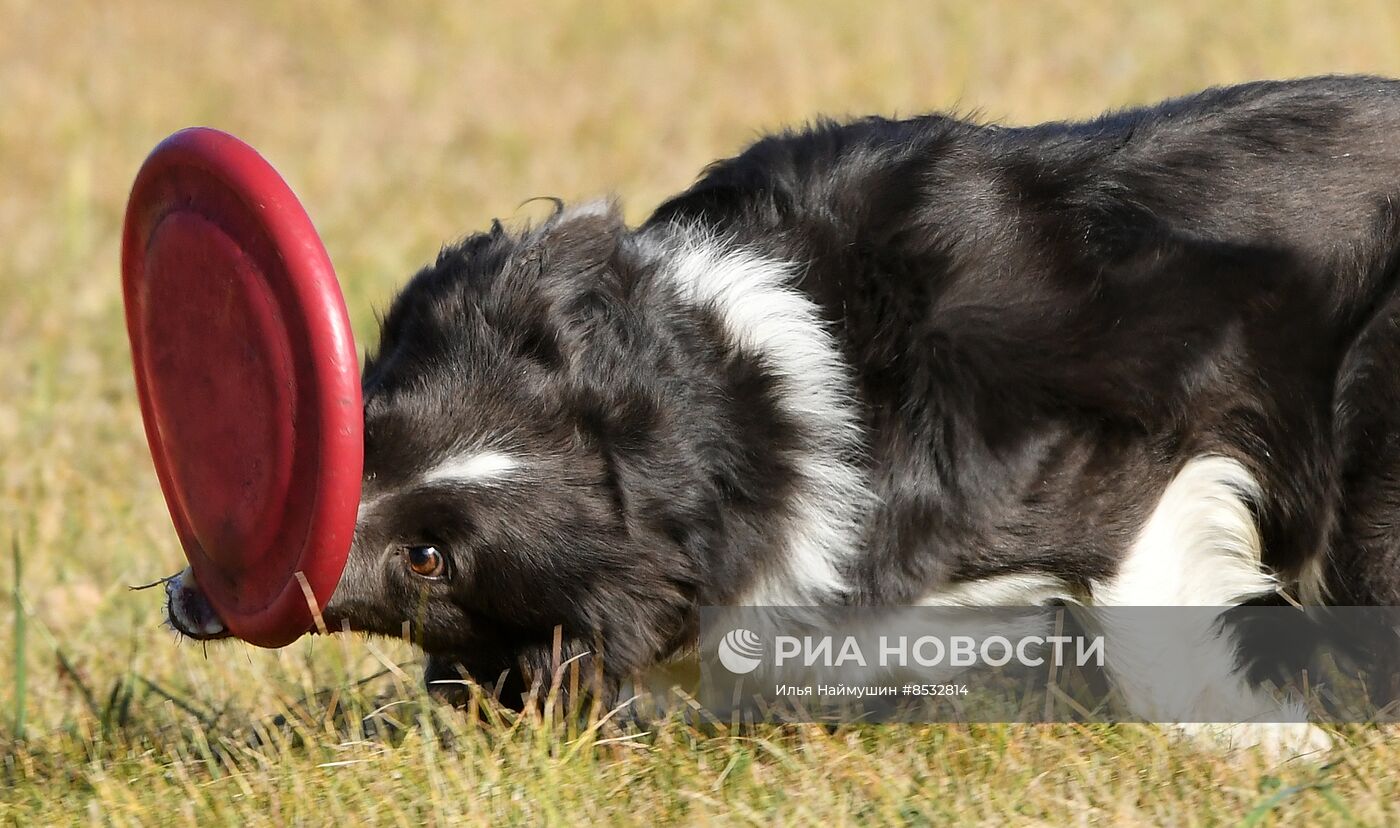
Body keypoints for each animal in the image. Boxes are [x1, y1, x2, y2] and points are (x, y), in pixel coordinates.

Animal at [166, 77, 1400, 756]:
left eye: (432, 560)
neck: (743, 408)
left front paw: (1268, 748)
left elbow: (1145, 614)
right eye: (365, 431)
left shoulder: (1127, 452)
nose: (198, 591)